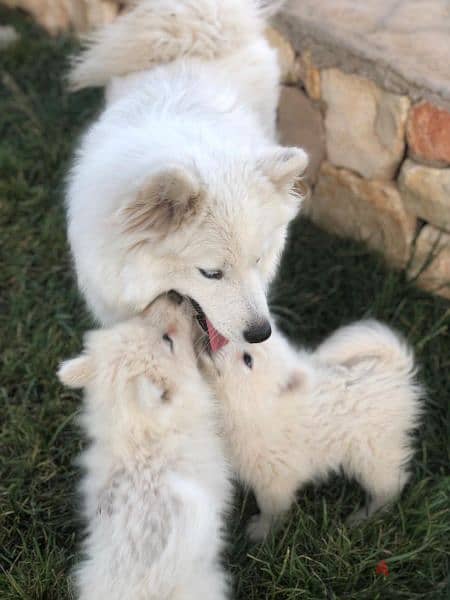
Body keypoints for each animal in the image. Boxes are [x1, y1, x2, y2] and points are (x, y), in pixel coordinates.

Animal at [202, 322, 424, 540]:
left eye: (248, 359)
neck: (257, 406)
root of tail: (394, 369)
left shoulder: (275, 477)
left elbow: (271, 509)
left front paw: (261, 532)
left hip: (372, 453)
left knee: (390, 485)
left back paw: (366, 516)